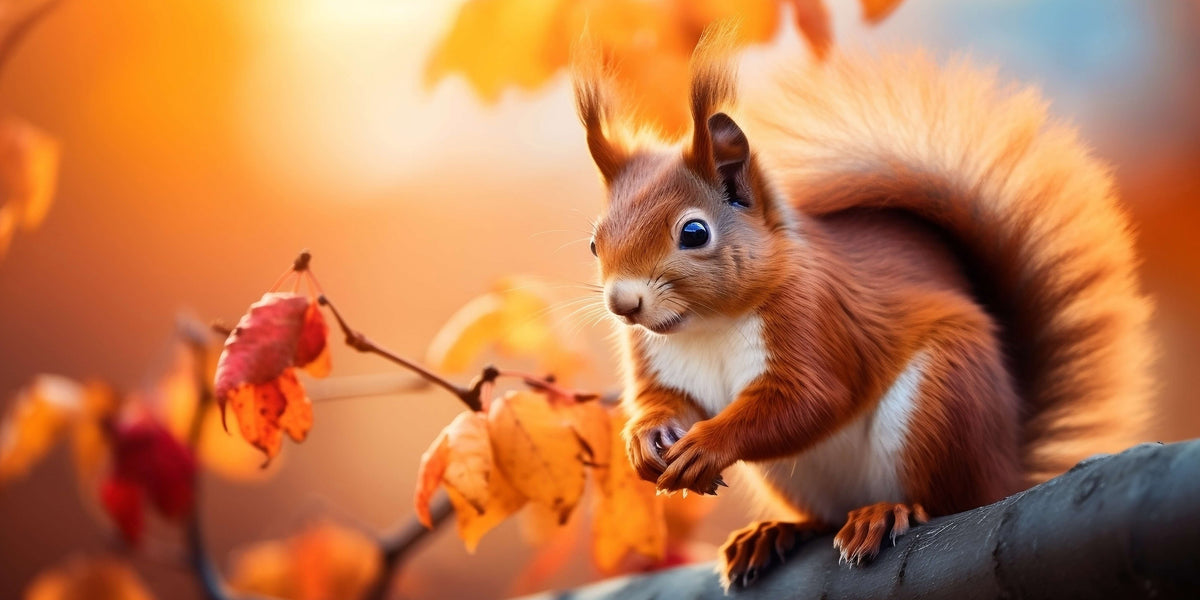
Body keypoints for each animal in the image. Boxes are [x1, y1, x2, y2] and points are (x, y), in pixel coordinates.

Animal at [572, 26, 1153, 591]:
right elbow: (663, 400)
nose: (623, 303)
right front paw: (645, 439)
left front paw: (707, 444)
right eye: (594, 244)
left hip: (942, 403)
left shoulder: (814, 317)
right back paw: (775, 532)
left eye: (694, 232)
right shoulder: (656, 358)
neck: (707, 326)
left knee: (943, 499)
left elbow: (808, 401)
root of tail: (1006, 472)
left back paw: (889, 511)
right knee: (822, 518)